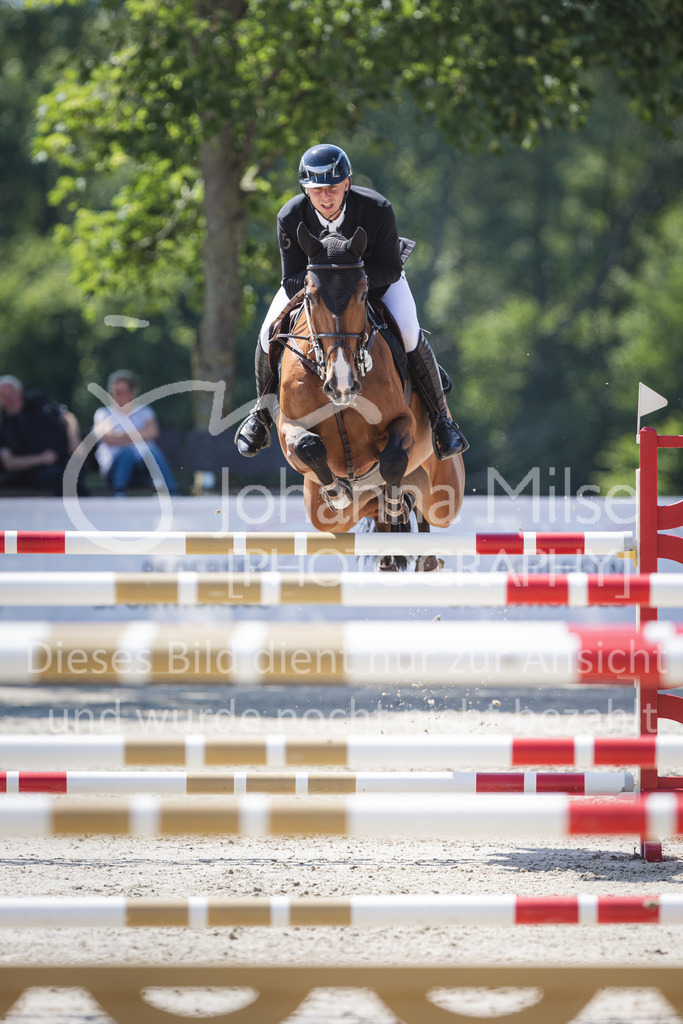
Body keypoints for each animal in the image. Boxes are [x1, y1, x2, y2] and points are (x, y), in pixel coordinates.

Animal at [273, 223, 465, 571]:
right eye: (310, 295)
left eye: (363, 294)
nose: (343, 383)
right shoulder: (288, 429)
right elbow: (307, 445)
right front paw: (338, 492)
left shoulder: (403, 423)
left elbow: (393, 459)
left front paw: (394, 502)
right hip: (324, 517)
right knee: (368, 511)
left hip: (445, 494)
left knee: (427, 511)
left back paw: (421, 548)